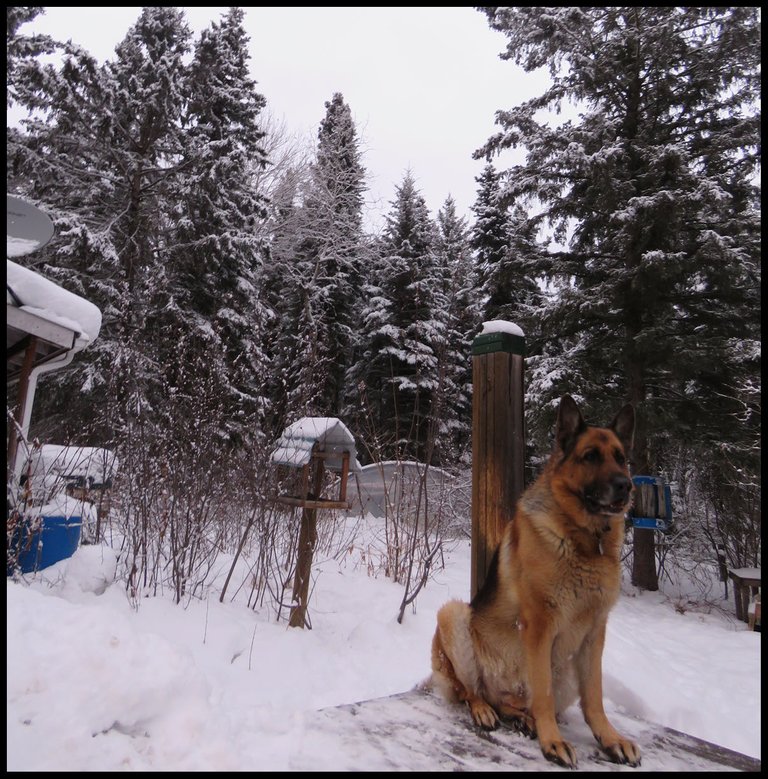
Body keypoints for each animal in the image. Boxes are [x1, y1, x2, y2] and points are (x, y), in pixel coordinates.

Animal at [428, 396, 640, 768]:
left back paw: (522, 717)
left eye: (620, 458)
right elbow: (542, 693)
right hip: (454, 616)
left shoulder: (594, 633)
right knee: (474, 691)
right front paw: (552, 742)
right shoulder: (540, 626)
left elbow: (594, 698)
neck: (586, 539)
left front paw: (610, 739)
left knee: (514, 703)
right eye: (590, 456)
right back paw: (485, 710)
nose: (625, 486)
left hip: (566, 668)